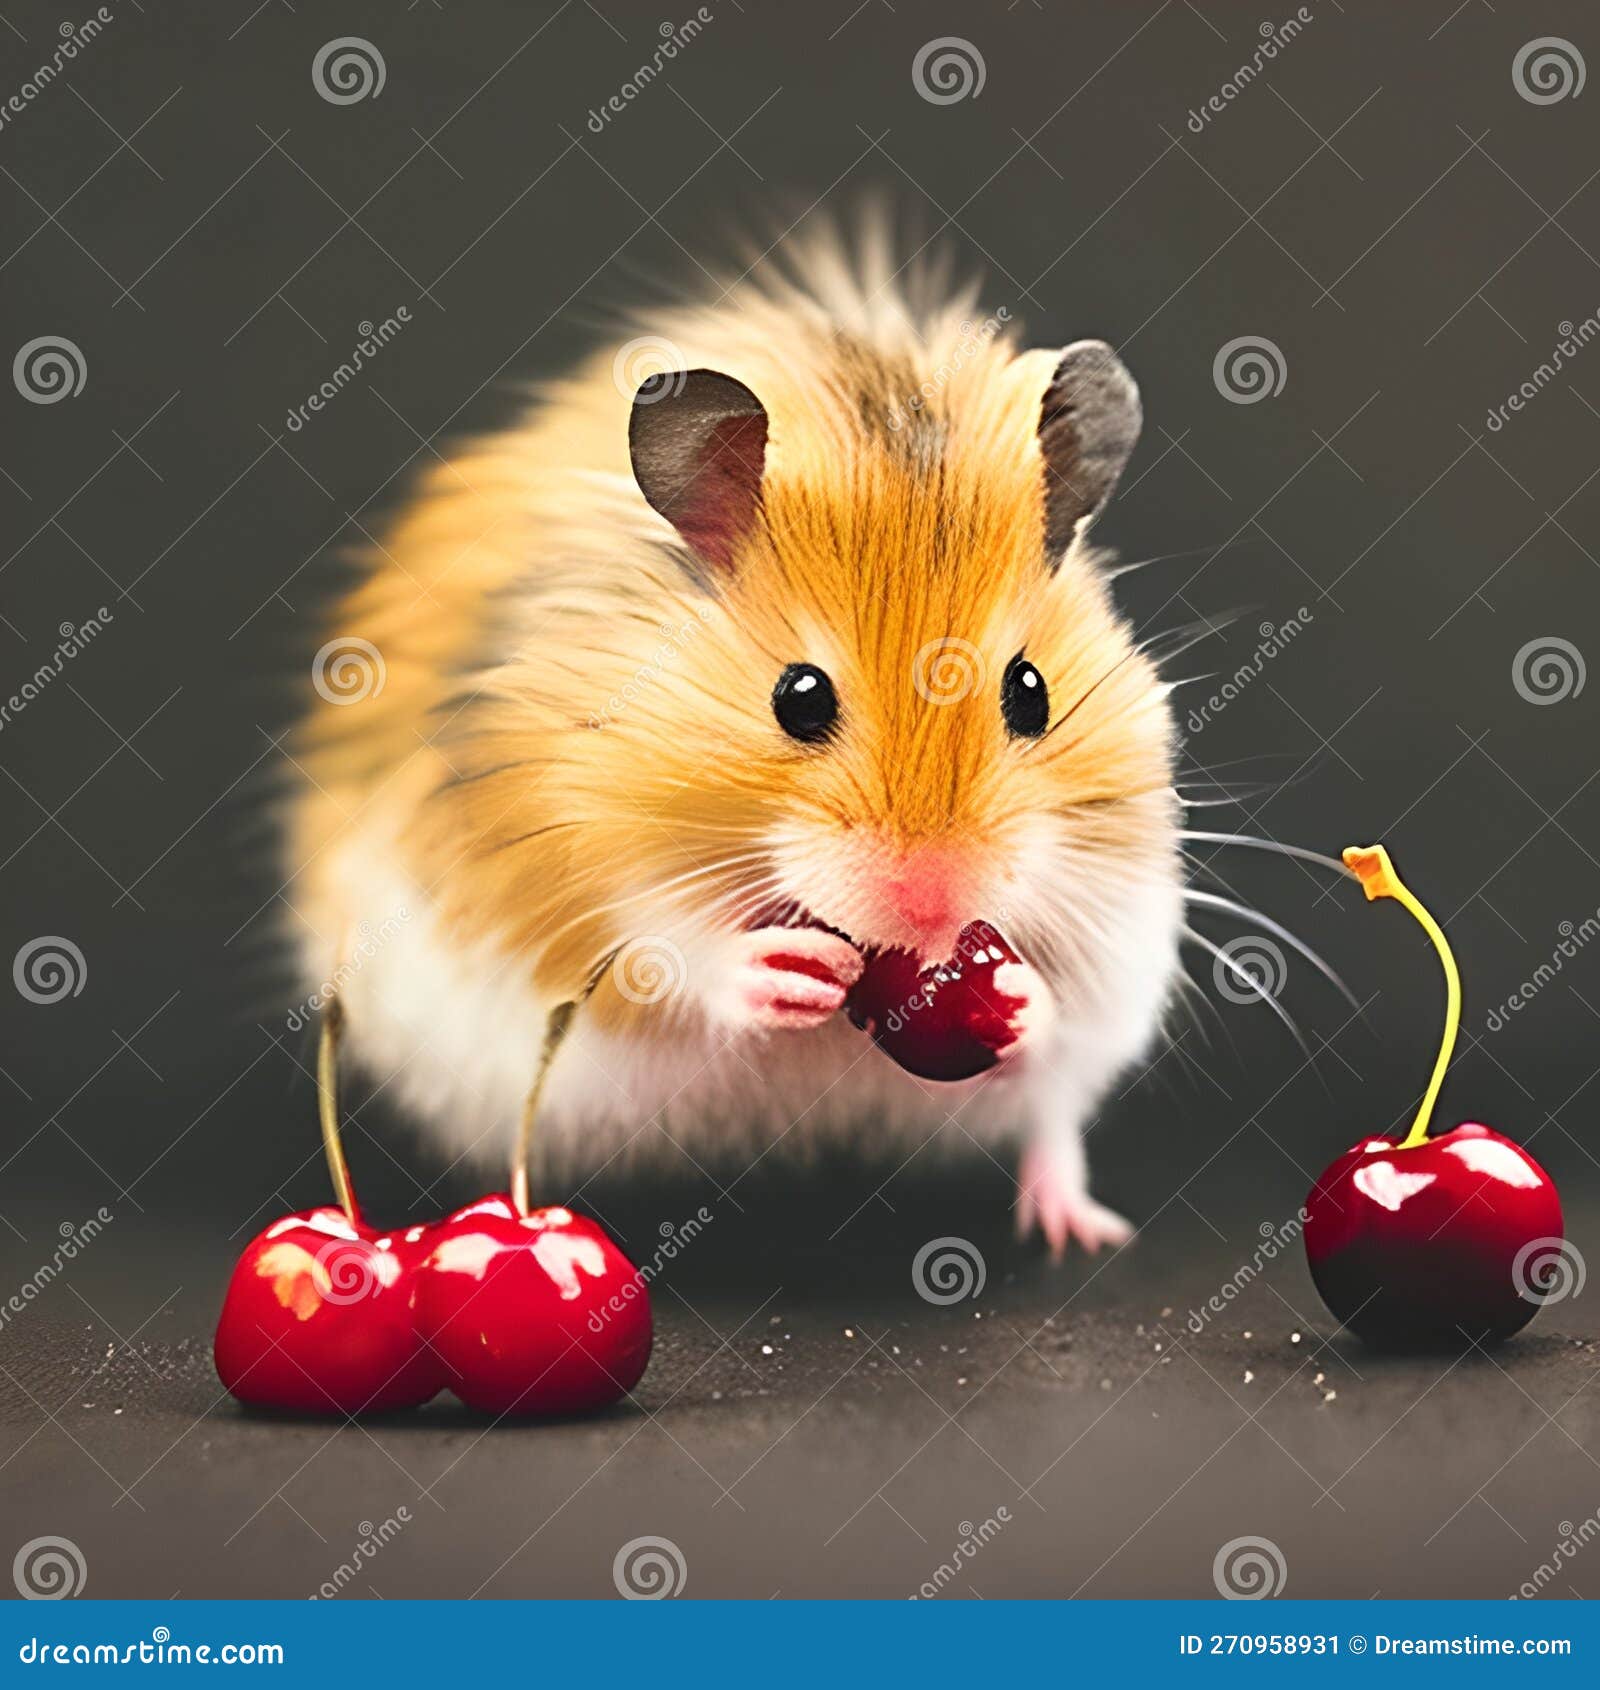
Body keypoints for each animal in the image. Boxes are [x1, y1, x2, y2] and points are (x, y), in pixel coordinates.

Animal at [286, 224, 1182, 1257]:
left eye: (1030, 693)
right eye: (799, 697)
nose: (931, 908)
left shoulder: (1123, 909)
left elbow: (1066, 1006)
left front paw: (1020, 999)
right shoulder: (564, 859)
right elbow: (662, 957)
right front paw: (783, 973)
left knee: (1052, 1128)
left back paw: (1082, 1231)